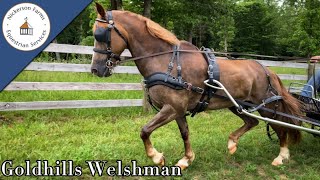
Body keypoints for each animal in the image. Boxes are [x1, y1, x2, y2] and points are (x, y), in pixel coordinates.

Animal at [91, 3, 302, 169]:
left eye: (100, 33)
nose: (95, 69)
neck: (166, 62)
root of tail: (266, 69)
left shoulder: (171, 108)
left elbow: (145, 130)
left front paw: (156, 157)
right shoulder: (177, 110)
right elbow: (184, 133)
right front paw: (186, 159)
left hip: (266, 106)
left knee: (279, 126)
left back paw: (281, 155)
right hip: (237, 106)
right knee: (253, 122)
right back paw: (232, 143)